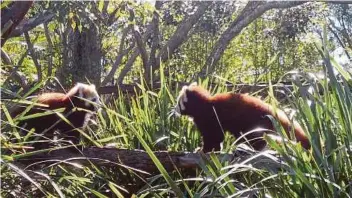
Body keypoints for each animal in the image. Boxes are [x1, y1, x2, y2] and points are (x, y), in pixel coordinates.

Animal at [175, 82, 310, 152]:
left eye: (178, 103)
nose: (174, 110)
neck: (205, 104)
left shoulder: (210, 118)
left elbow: (213, 136)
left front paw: (205, 150)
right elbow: (218, 137)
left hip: (253, 124)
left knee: (255, 138)